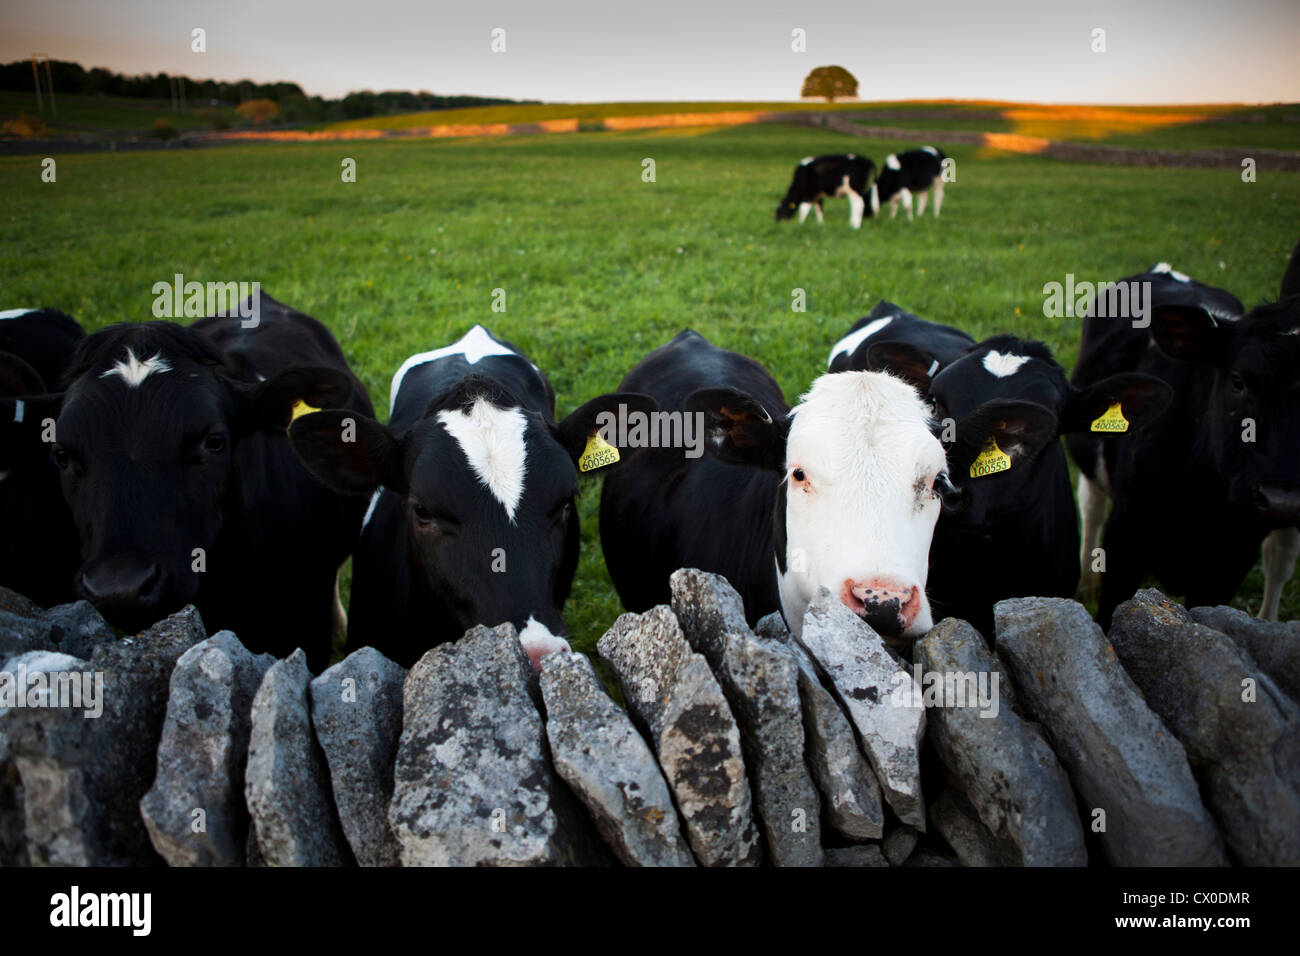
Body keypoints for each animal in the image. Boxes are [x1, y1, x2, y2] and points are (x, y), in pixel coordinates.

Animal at [1067, 254, 1300, 628]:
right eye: (1237, 381)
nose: (1281, 499)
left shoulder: (1232, 560)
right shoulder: (1126, 535)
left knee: (1280, 557)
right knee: (1091, 506)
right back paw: (1085, 582)